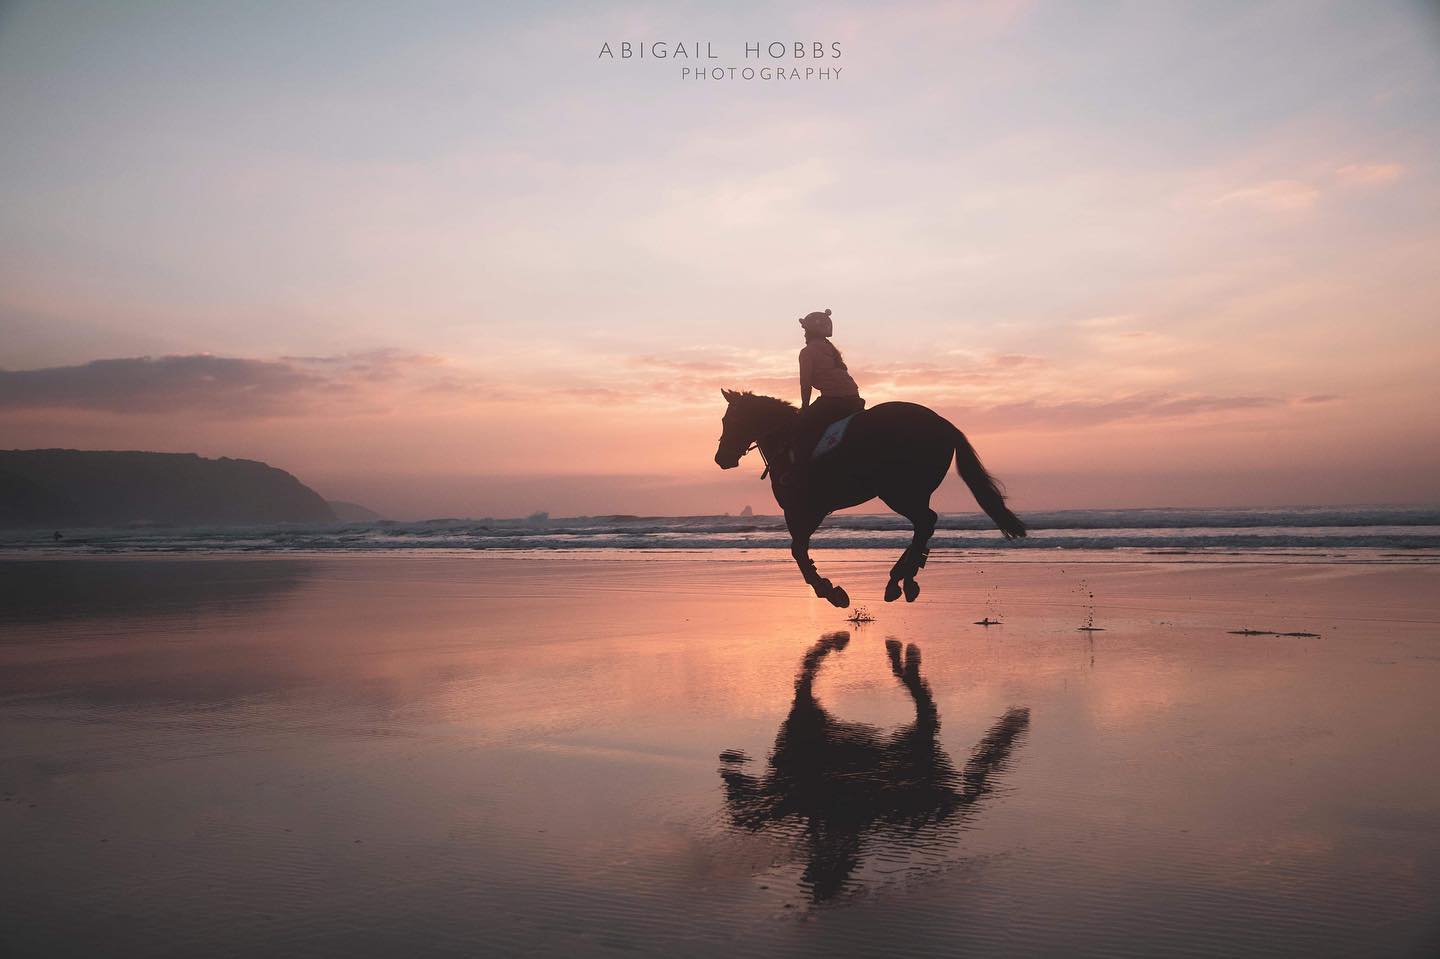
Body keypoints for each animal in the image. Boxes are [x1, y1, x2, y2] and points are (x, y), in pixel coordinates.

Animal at [711, 388, 1025, 604]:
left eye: (729, 419)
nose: (720, 458)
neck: (786, 440)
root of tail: (943, 423)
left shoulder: (803, 510)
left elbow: (798, 551)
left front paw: (829, 591)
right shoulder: (809, 512)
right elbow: (799, 550)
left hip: (898, 491)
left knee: (925, 522)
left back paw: (899, 580)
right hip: (913, 491)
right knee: (925, 524)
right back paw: (906, 578)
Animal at [717, 630, 1031, 898]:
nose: (726, 766)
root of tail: (951, 799)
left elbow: (812, 661)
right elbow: (810, 665)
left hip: (914, 744)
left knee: (917, 692)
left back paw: (901, 654)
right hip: (916, 743)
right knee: (918, 694)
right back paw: (900, 653)